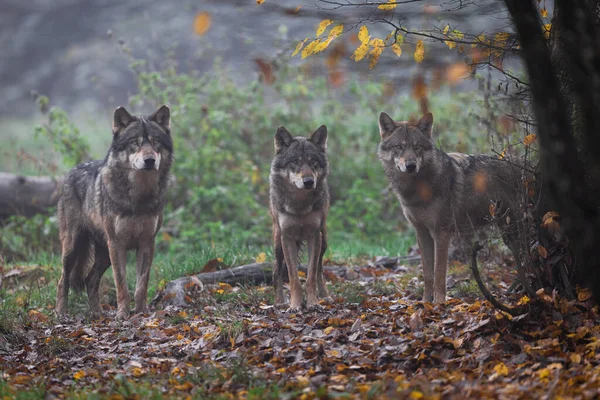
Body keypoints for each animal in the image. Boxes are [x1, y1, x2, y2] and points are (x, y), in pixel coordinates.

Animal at [54, 104, 173, 318]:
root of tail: (70, 172)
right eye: (134, 143)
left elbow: (141, 284)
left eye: (156, 142)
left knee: (90, 280)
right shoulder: (117, 244)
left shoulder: (147, 243)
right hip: (74, 247)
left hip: (103, 254)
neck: (138, 197)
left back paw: (97, 314)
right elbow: (121, 283)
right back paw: (61, 313)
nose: (150, 160)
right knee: (63, 280)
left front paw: (141, 312)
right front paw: (123, 314)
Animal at [270, 125, 330, 312]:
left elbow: (311, 276)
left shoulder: (314, 236)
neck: (300, 205)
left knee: (320, 270)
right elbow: (293, 277)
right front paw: (295, 305)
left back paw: (325, 296)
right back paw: (279, 302)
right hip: (278, 245)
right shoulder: (287, 237)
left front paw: (312, 303)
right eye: (295, 162)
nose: (309, 181)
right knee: (276, 271)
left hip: (323, 241)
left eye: (313, 162)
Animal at [380, 112, 524, 304]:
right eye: (399, 147)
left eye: (417, 147)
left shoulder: (441, 233)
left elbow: (439, 274)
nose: (411, 166)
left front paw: (439, 304)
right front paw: (425, 303)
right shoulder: (422, 233)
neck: (417, 190)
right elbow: (428, 275)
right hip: (508, 232)